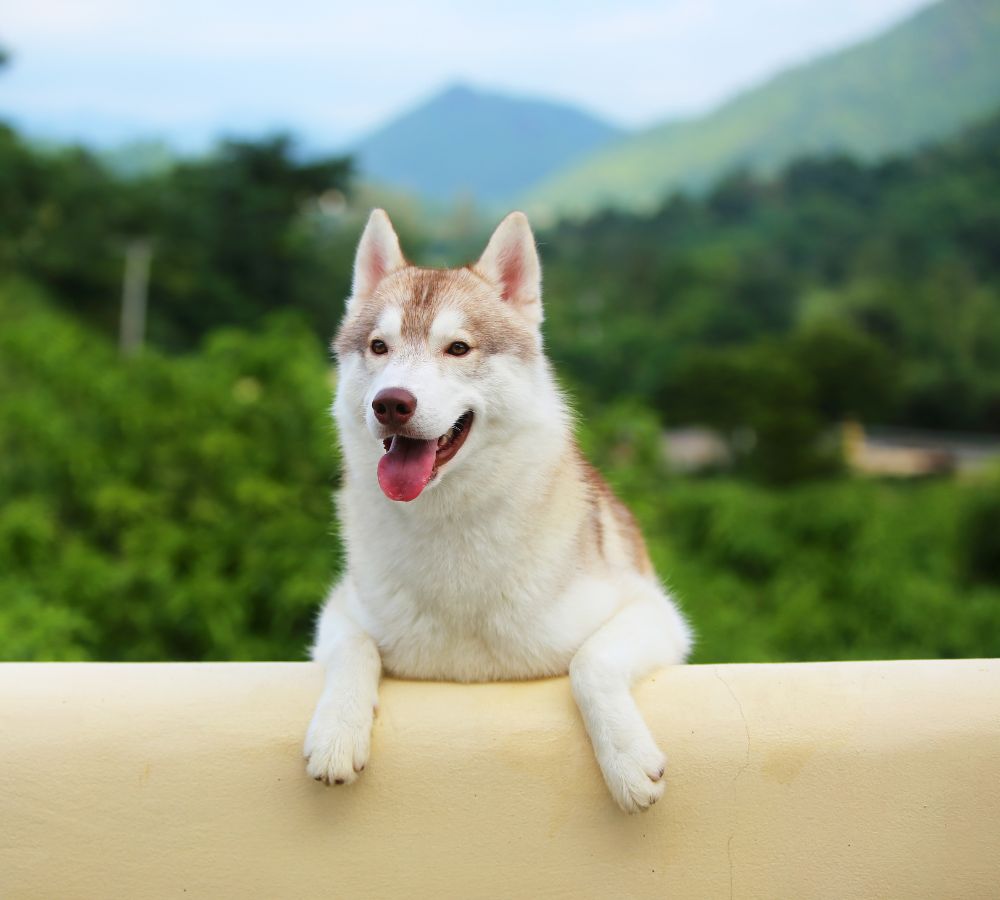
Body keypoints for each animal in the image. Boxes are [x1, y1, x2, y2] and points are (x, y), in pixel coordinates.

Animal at [304, 207, 692, 812]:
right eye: (378, 347)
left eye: (458, 348)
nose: (391, 403)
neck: (451, 530)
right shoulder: (340, 611)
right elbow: (354, 649)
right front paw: (336, 732)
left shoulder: (653, 611)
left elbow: (590, 662)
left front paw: (627, 760)